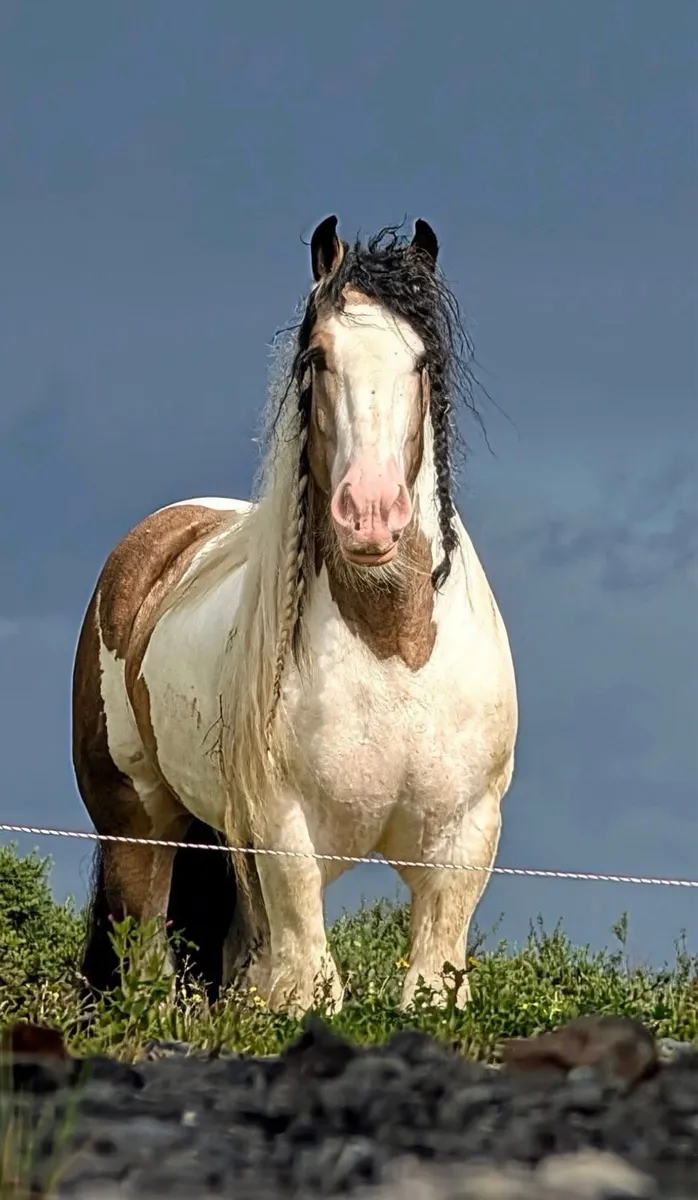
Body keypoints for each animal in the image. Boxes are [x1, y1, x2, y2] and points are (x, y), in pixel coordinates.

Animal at [73, 216, 518, 1015]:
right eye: (318, 356)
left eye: (421, 362)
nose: (370, 513)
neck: (391, 644)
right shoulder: (285, 831)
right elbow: (310, 990)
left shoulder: (463, 840)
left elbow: (428, 988)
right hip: (139, 830)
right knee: (145, 970)